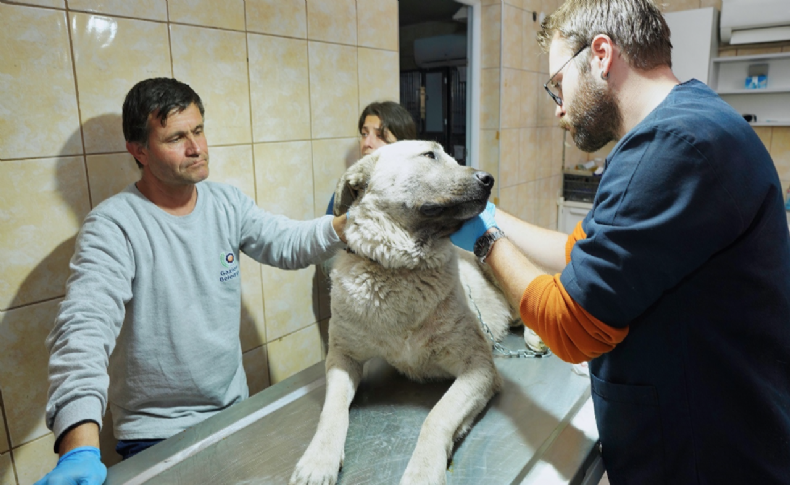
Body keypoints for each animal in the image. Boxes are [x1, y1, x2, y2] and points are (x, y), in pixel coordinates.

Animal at [292, 140, 544, 484]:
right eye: (430, 155)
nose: (489, 179)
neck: (401, 270)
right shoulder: (342, 357)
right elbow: (332, 410)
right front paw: (319, 458)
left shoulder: (479, 366)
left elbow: (437, 416)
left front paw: (423, 470)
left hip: (495, 264)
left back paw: (536, 337)